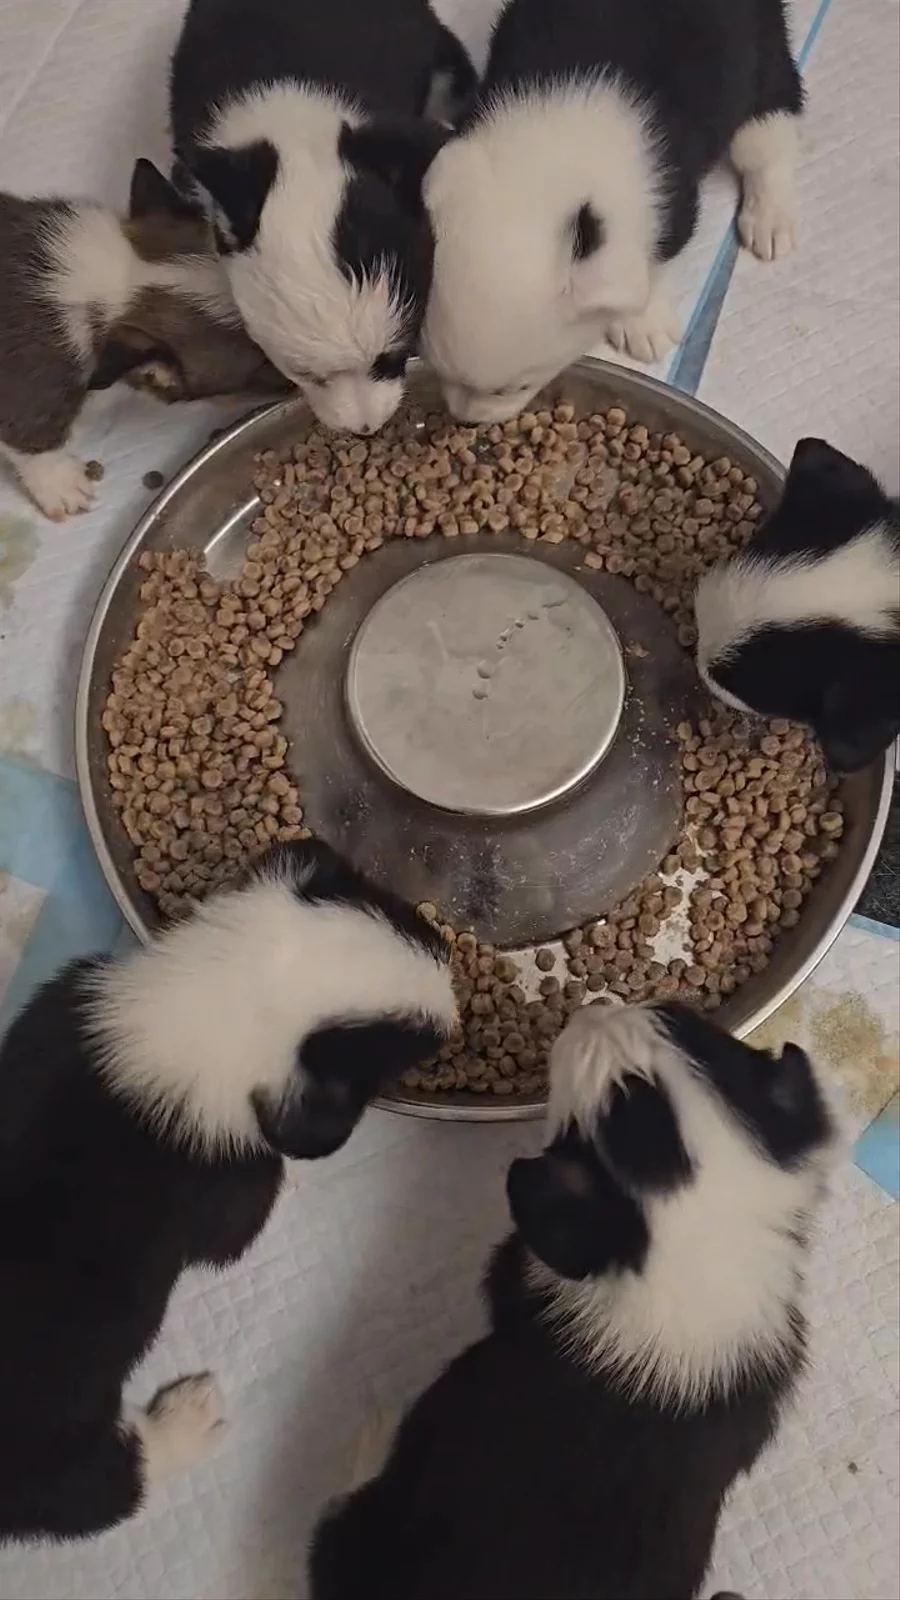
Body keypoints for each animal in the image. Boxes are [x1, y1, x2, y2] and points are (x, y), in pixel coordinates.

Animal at [0, 837, 456, 1543]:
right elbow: (260, 1194)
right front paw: (296, 1178)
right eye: (395, 1047)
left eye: (406, 917)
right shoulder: (230, 1194)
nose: (454, 1013)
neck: (201, 1002)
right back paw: (187, 1419)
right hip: (54, 1449)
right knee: (101, 1493)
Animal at [310, 999, 839, 1600]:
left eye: (605, 1109)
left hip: (358, 1535)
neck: (710, 1239)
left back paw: (376, 1431)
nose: (598, 1006)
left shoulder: (520, 1271)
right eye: (681, 1018)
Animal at [422, 0, 803, 422]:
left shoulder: (675, 205)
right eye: (435, 369)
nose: (466, 420)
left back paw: (771, 217)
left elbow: (655, 262)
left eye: (516, 387)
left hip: (761, 47)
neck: (554, 155)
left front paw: (642, 322)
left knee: (771, 123)